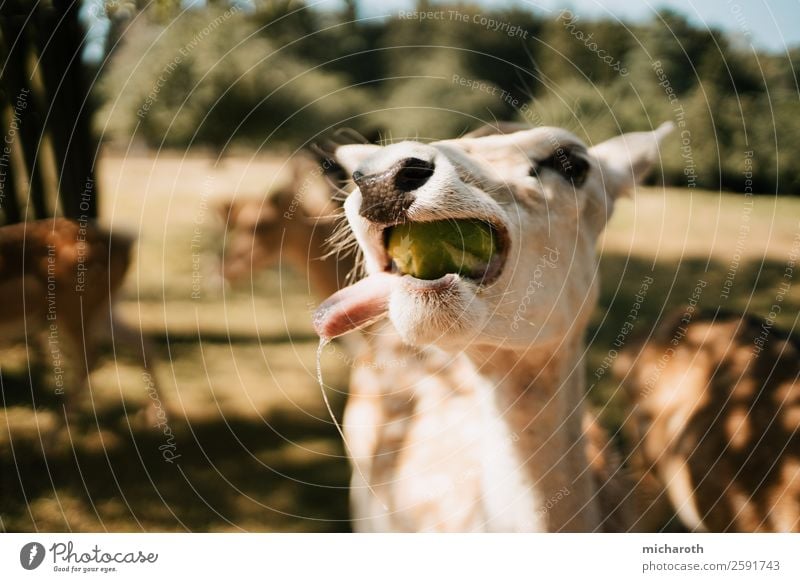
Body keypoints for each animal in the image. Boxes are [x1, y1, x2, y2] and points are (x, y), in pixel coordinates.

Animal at [0, 218, 158, 420]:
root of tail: (124, 244)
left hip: (74, 309)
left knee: (90, 359)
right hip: (101, 310)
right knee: (143, 341)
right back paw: (155, 414)